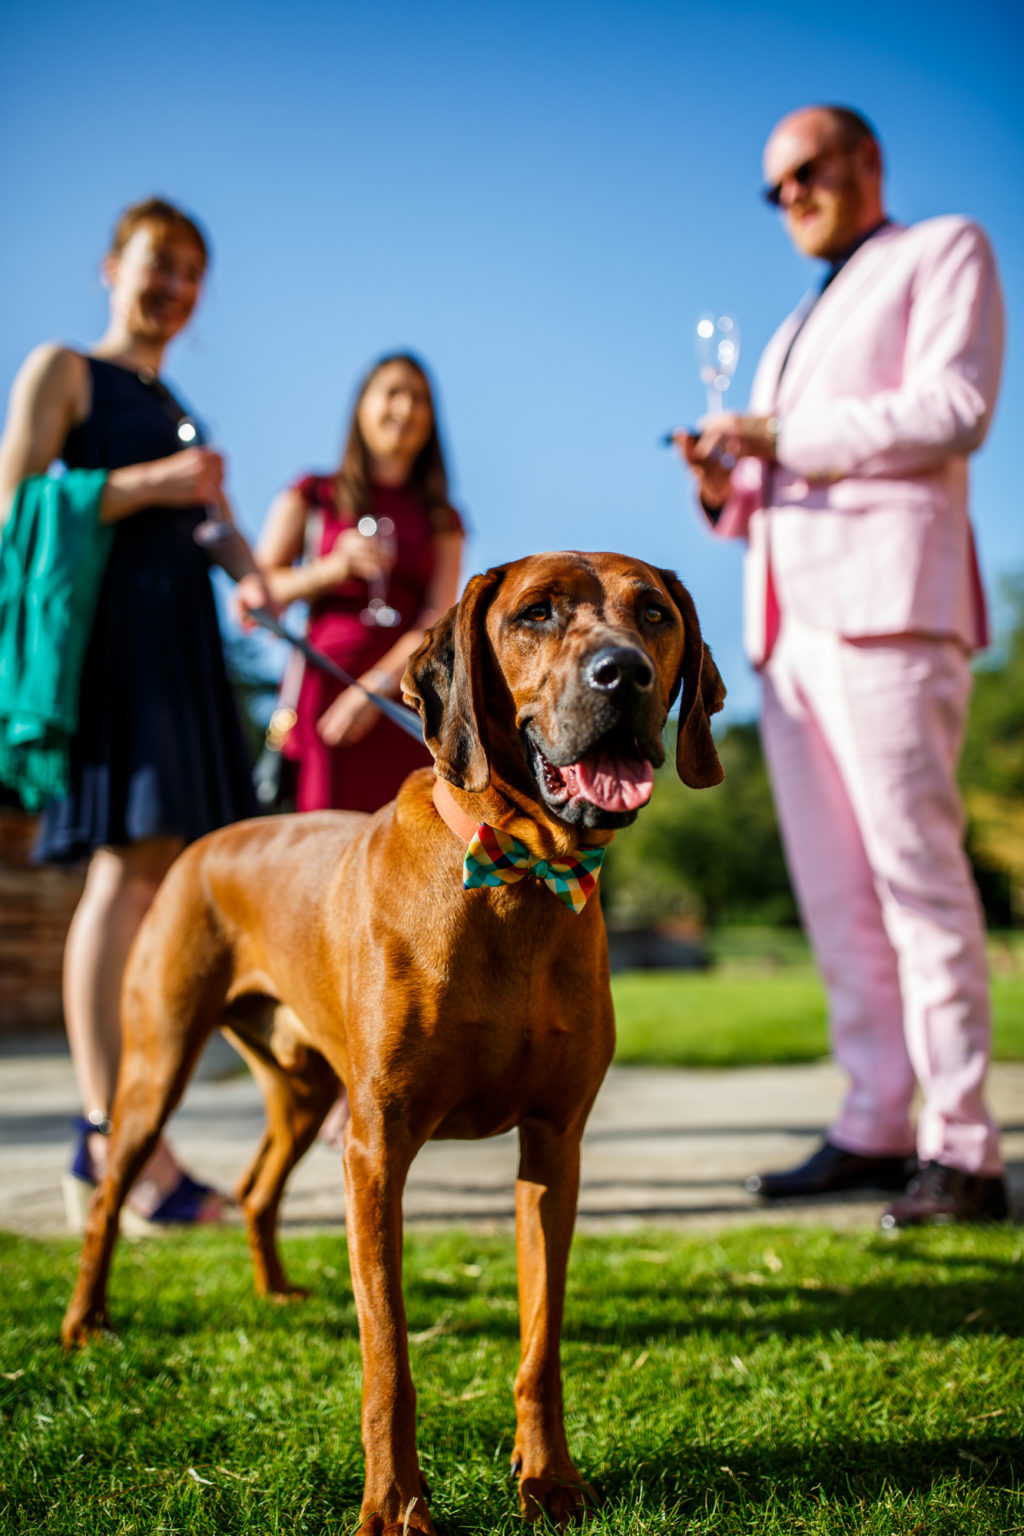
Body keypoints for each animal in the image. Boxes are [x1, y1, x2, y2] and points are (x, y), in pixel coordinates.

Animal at [64, 552, 724, 1536]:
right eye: (536, 614)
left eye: (653, 614)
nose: (626, 675)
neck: (516, 880)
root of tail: (206, 842)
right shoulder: (377, 1149)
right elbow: (388, 1356)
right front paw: (394, 1503)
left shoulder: (553, 1146)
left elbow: (541, 1341)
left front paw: (548, 1477)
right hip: (158, 1066)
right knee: (110, 1193)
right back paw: (86, 1321)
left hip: (304, 1094)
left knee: (257, 1189)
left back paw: (276, 1291)